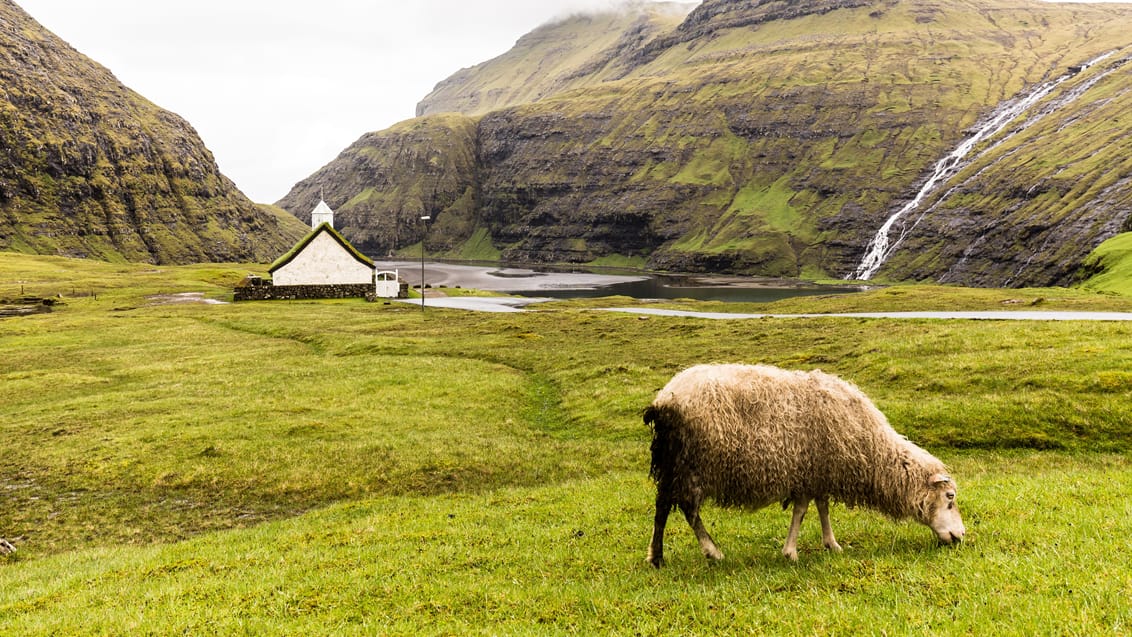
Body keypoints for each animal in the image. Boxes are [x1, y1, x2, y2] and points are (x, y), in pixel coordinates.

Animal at [647, 364, 964, 567]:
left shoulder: (817, 471)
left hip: (673, 464)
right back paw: (707, 552)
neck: (871, 447)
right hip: (690, 463)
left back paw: (657, 557)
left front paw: (831, 544)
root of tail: (664, 399)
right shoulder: (809, 472)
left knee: (664, 507)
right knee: (685, 509)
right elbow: (801, 512)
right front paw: (791, 552)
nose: (960, 537)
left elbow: (822, 508)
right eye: (949, 498)